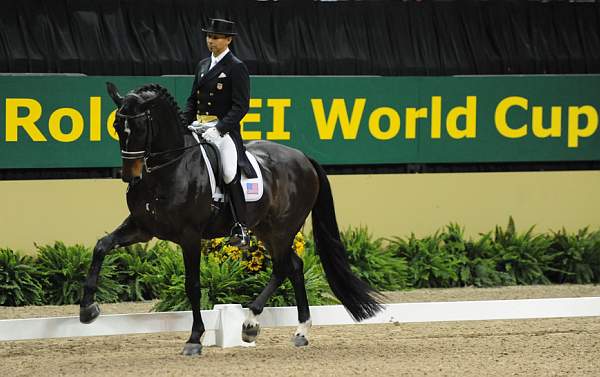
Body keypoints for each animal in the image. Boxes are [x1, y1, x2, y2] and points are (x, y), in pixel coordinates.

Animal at [79, 82, 382, 356]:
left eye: (141, 128)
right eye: (116, 126)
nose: (130, 177)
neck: (169, 168)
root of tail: (302, 157)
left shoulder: (189, 235)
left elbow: (193, 285)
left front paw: (194, 339)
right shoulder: (142, 228)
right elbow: (101, 246)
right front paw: (87, 309)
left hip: (282, 229)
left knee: (283, 267)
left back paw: (250, 323)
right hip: (265, 229)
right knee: (294, 266)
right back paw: (299, 332)